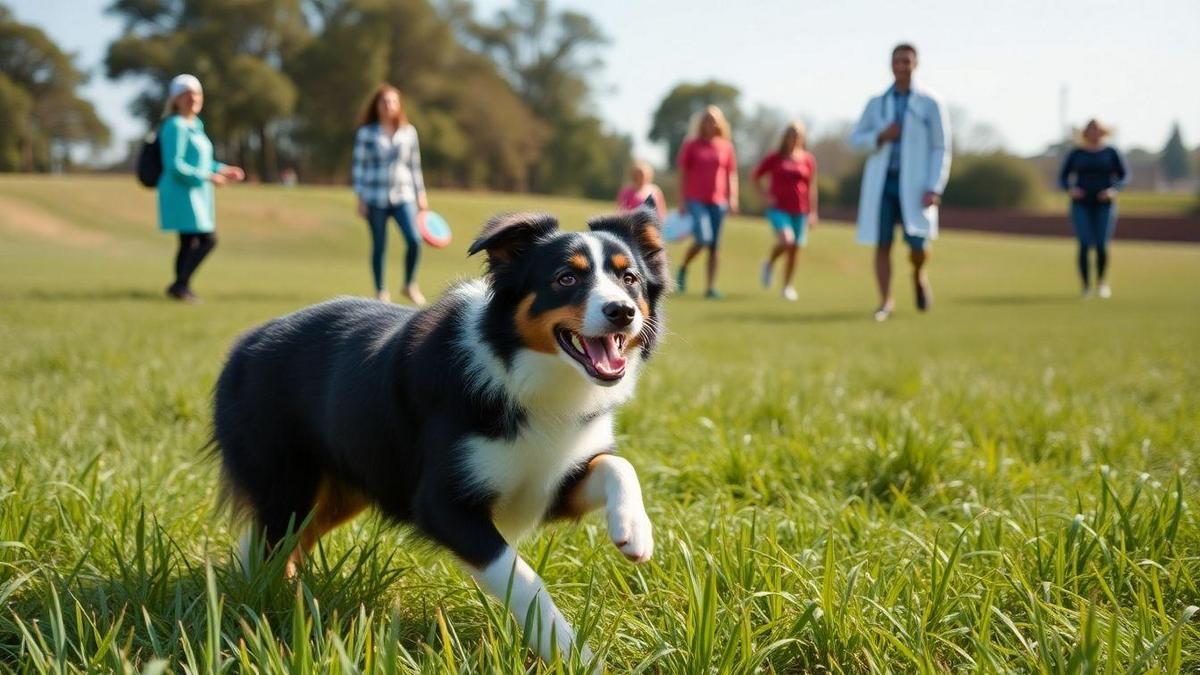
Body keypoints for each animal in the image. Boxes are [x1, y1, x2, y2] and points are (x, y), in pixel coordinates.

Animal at [213, 208, 667, 662]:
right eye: (565, 278)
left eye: (630, 278)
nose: (622, 311)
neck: (527, 374)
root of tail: (247, 342)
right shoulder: (442, 504)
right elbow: (520, 576)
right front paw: (571, 653)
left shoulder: (549, 482)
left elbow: (617, 464)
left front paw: (635, 529)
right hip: (288, 484)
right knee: (271, 544)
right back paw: (264, 607)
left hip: (341, 491)